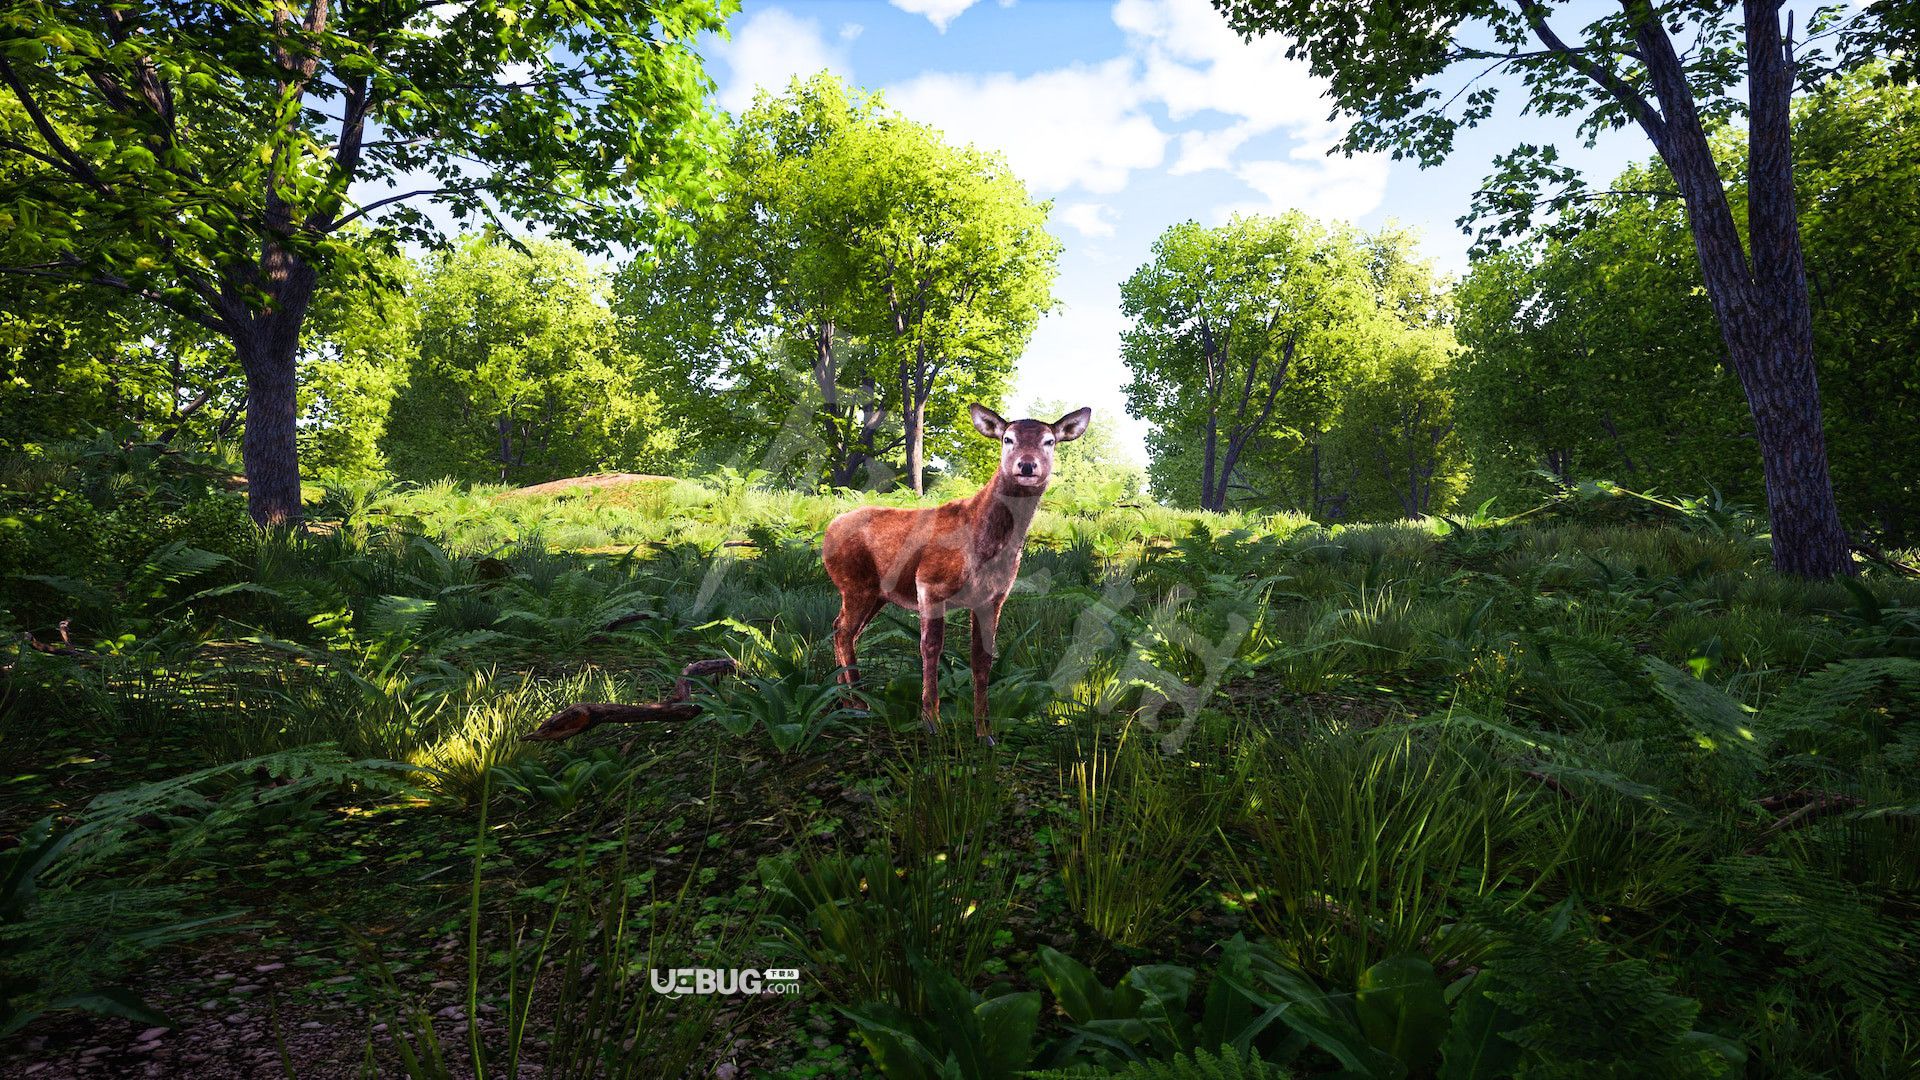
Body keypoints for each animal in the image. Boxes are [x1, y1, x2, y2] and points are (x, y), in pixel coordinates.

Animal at [825, 399, 1098, 745]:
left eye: (1049, 441)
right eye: (1007, 438)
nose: (1026, 465)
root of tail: (829, 529)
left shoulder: (993, 598)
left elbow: (982, 658)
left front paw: (985, 733)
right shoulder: (930, 583)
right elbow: (930, 648)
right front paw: (932, 723)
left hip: (876, 593)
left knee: (842, 629)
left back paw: (847, 701)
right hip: (854, 583)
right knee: (843, 631)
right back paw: (857, 705)